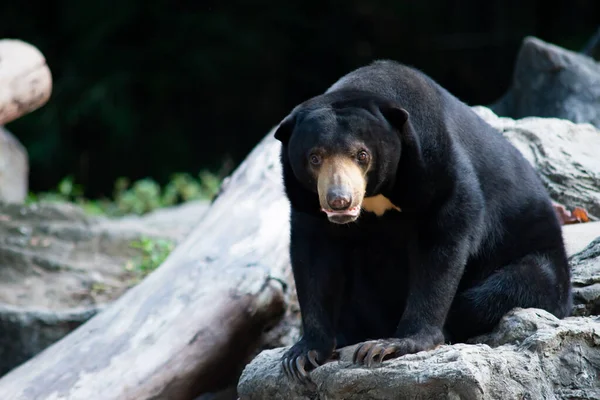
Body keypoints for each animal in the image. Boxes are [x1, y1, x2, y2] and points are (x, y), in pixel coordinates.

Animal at [272, 60, 572, 384]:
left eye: (362, 155)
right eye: (315, 158)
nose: (339, 200)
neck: (378, 195)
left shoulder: (435, 166)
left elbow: (443, 242)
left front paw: (389, 346)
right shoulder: (306, 201)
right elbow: (314, 257)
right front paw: (303, 354)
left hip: (536, 259)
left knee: (503, 290)